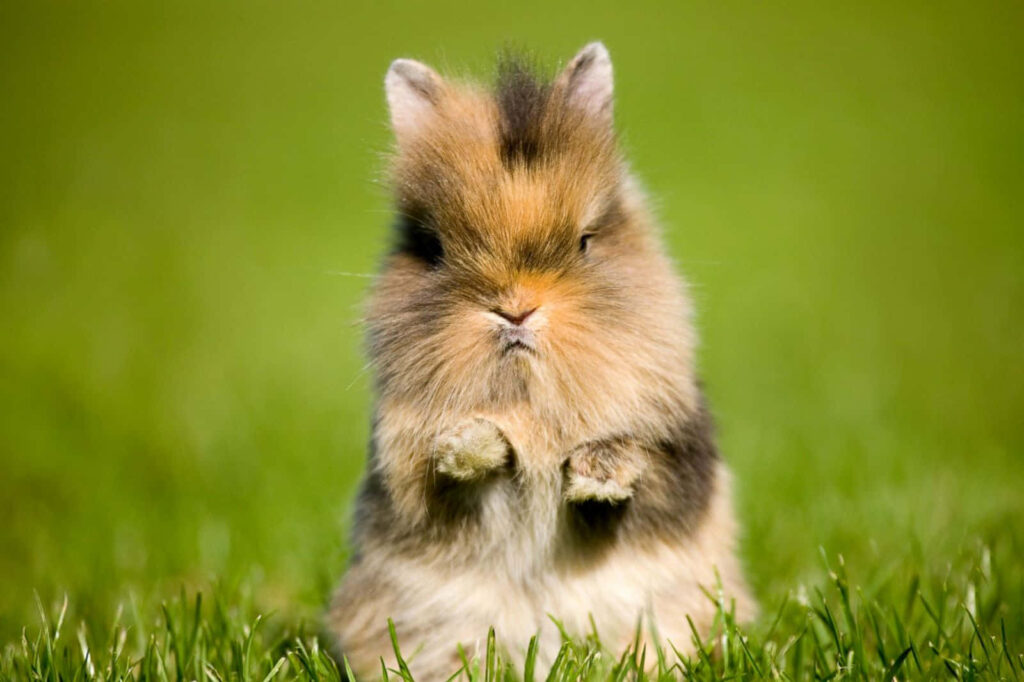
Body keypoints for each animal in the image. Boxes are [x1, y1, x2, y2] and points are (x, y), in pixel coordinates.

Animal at [328, 42, 755, 679]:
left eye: (585, 242)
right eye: (433, 249)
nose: (516, 309)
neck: (529, 401)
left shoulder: (673, 454)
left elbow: (638, 465)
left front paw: (596, 476)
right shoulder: (406, 469)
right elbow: (449, 476)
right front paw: (471, 446)